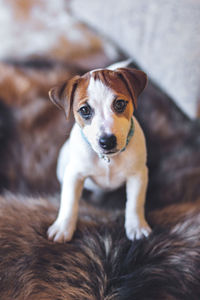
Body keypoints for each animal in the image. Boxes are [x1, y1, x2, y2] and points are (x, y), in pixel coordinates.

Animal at [48, 61, 152, 244]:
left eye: (120, 104)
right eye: (84, 110)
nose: (107, 141)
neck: (108, 159)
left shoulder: (138, 175)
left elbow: (135, 203)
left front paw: (136, 227)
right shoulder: (74, 174)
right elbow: (69, 202)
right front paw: (63, 227)